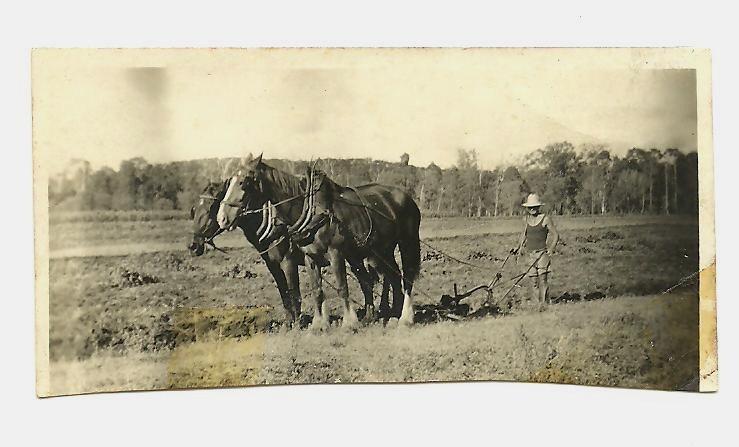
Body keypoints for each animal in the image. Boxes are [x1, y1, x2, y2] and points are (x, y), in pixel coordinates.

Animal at [217, 157, 420, 328]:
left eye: (243, 182)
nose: (222, 218)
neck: (310, 210)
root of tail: (406, 196)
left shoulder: (333, 253)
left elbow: (340, 287)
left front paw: (348, 322)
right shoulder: (309, 257)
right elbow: (316, 290)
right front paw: (318, 324)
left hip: (406, 242)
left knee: (407, 276)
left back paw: (405, 317)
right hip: (382, 250)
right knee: (392, 277)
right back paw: (390, 314)